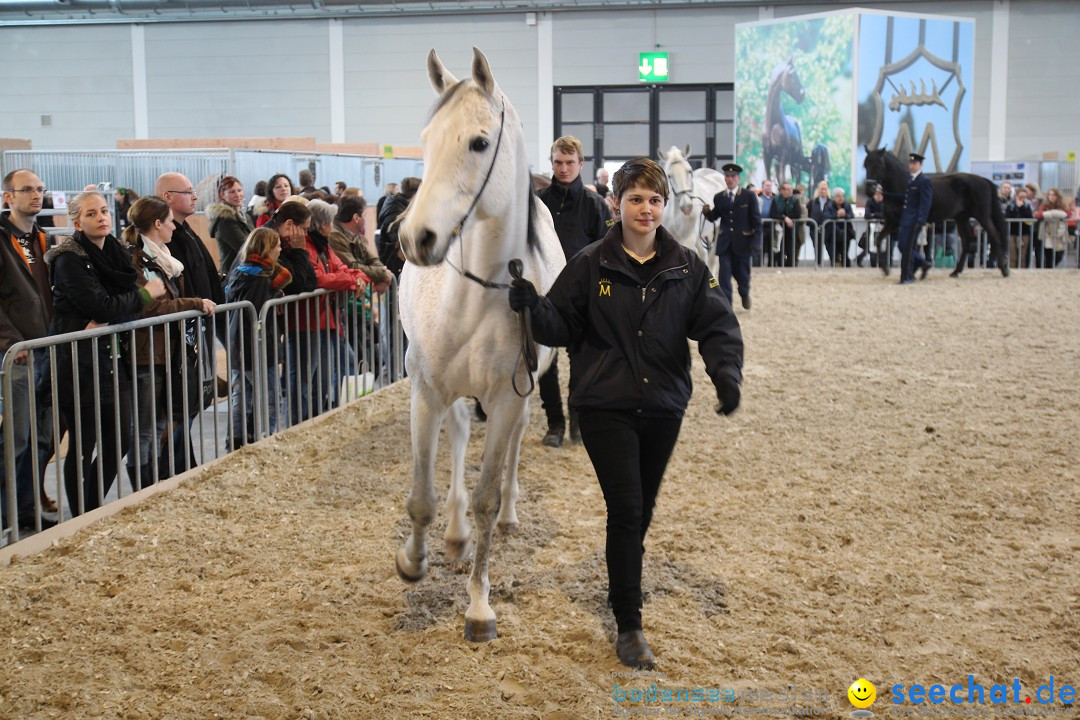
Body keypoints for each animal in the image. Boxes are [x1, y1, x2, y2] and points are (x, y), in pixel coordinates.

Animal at [397, 47, 565, 643]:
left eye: (478, 142)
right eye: (425, 139)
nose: (415, 238)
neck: (477, 294)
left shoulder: (510, 395)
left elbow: (488, 500)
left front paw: (478, 605)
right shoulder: (426, 393)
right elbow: (421, 495)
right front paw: (414, 561)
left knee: (511, 448)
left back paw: (505, 516)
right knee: (460, 435)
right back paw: (453, 533)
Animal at [656, 144, 725, 280]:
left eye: (689, 171)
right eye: (669, 175)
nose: (687, 206)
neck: (674, 214)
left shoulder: (689, 237)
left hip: (716, 232)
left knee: (712, 261)